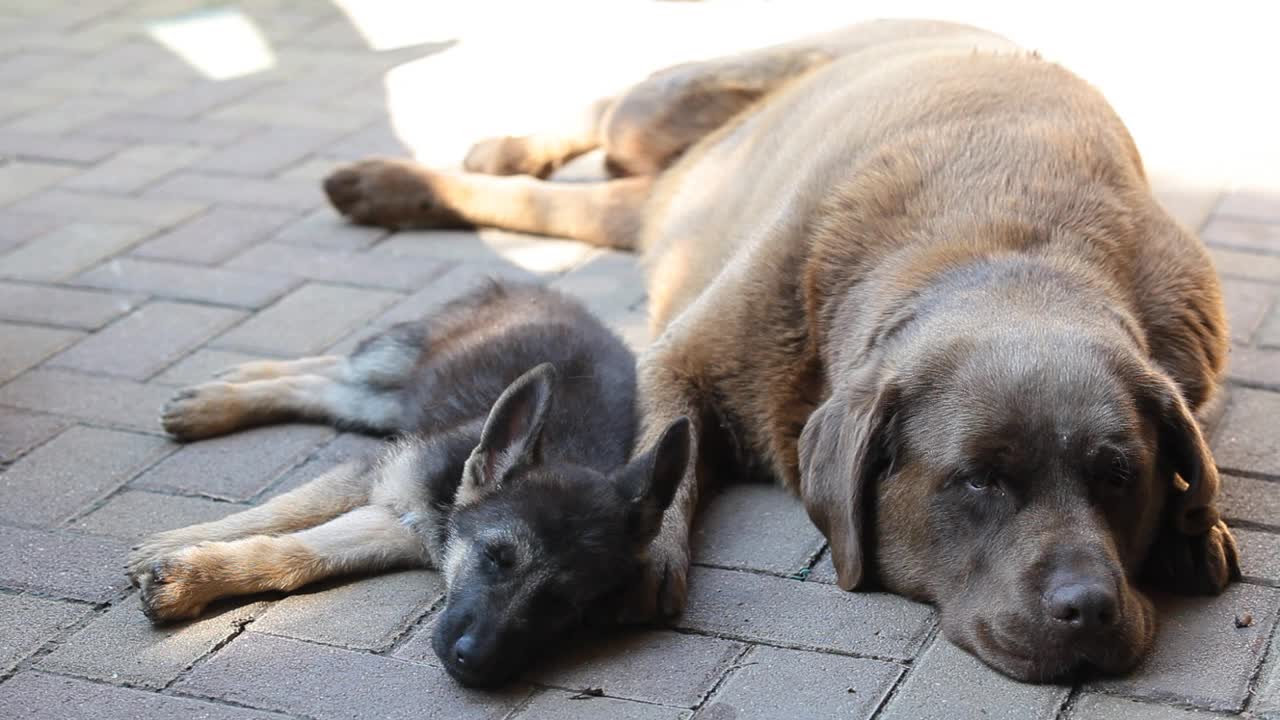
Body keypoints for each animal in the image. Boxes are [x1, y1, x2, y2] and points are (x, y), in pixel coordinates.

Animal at [127, 280, 691, 681]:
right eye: (496, 557)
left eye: (566, 604)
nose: (474, 663)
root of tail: (545, 289)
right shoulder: (377, 476)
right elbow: (283, 510)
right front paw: (175, 545)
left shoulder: (398, 528)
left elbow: (294, 555)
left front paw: (196, 576)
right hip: (396, 365)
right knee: (335, 366)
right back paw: (219, 393)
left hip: (383, 401)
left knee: (323, 387)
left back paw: (223, 391)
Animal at [320, 18, 1239, 676]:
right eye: (979, 480)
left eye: (1119, 475)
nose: (1089, 606)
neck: (1003, 243)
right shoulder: (680, 356)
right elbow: (669, 447)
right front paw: (647, 550)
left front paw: (1195, 529)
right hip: (675, 106)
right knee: (607, 111)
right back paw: (456, 158)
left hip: (658, 198)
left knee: (572, 201)